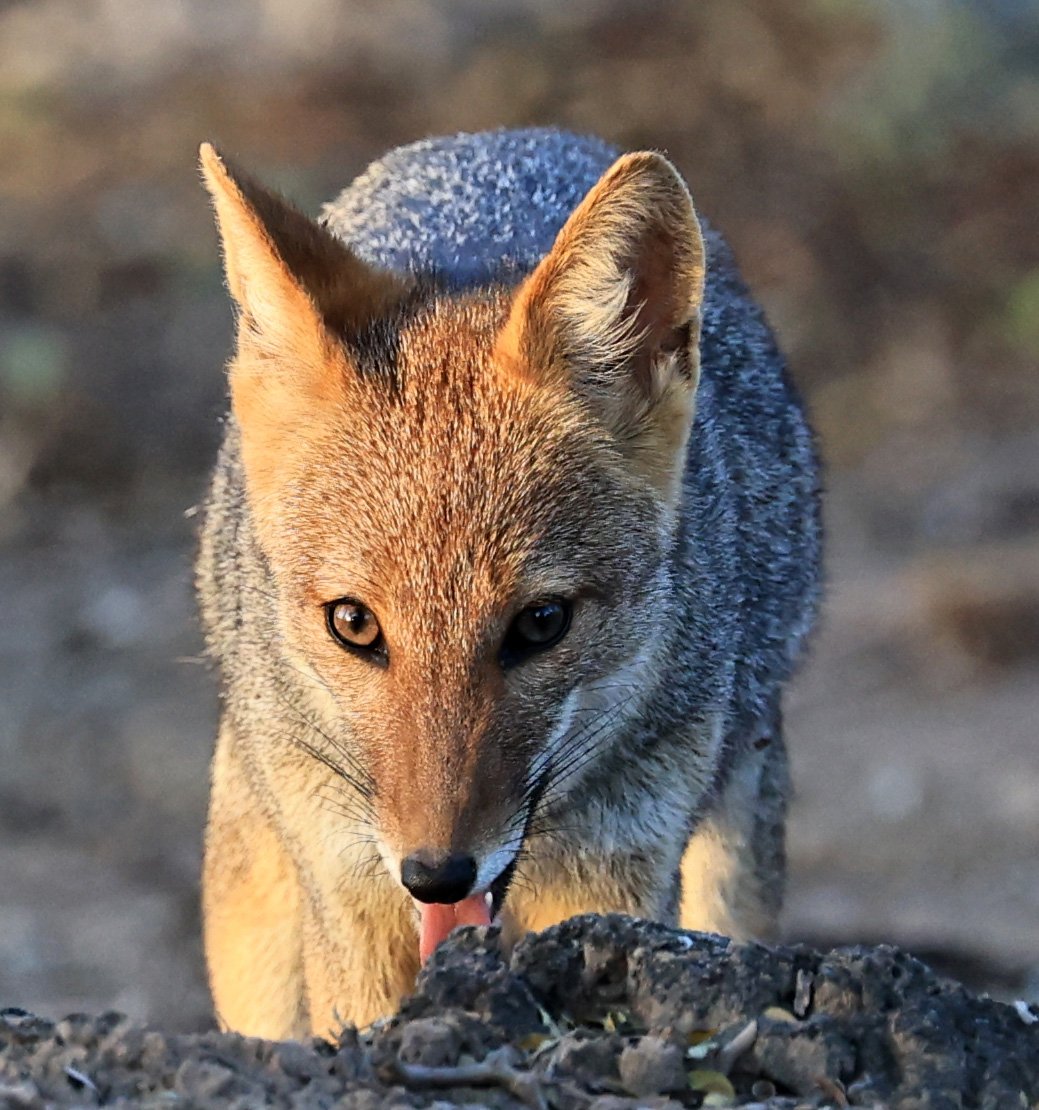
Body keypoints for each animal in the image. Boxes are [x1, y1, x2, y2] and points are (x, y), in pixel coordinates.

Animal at [196, 128, 821, 1040]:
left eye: (541, 623)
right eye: (353, 624)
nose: (436, 874)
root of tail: (500, 138)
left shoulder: (613, 874)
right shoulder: (351, 892)